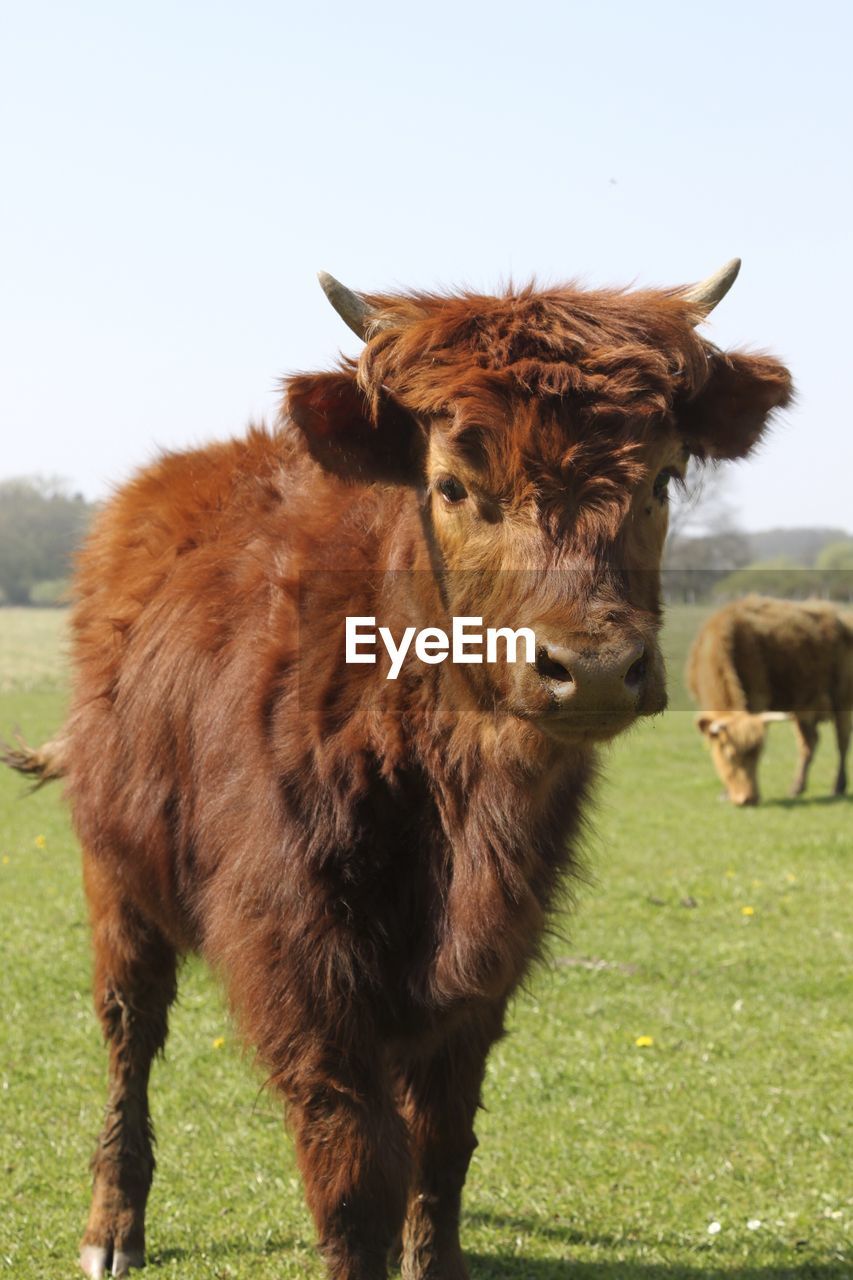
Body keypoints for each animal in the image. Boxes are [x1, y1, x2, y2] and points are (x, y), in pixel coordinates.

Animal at [4, 262, 788, 1280]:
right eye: (452, 484)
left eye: (659, 478)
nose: (592, 667)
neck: (455, 790)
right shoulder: (303, 961)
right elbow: (351, 1166)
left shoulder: (487, 961)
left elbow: (441, 1142)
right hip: (116, 880)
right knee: (129, 1037)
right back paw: (112, 1224)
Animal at [686, 596, 845, 798]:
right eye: (730, 755)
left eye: (758, 753)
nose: (748, 799)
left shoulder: (758, 698)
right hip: (802, 707)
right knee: (809, 744)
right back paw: (796, 788)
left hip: (843, 701)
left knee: (841, 743)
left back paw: (838, 787)